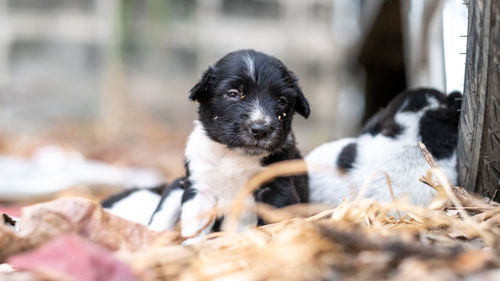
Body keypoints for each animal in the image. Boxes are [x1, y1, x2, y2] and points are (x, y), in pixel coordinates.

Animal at [104, 48, 308, 241]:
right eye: (233, 94)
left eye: (282, 100)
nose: (260, 129)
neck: (234, 155)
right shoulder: (199, 188)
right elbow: (195, 228)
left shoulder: (277, 188)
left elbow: (272, 223)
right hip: (175, 188)